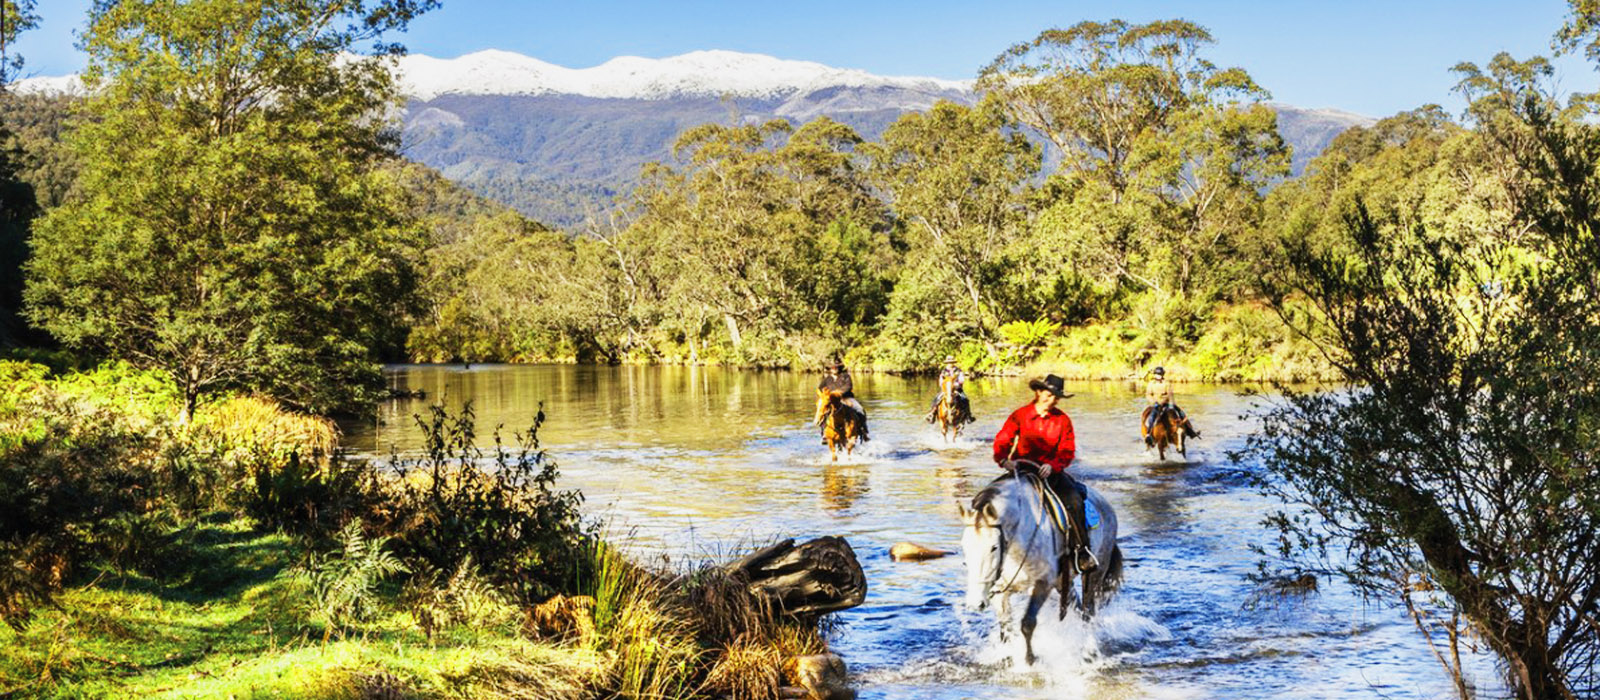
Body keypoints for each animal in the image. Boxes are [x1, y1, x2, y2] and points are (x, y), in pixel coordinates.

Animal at [960, 466, 1126, 664]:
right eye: (964, 546)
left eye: (994, 547)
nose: (975, 603)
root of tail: (1107, 506)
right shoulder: (1000, 590)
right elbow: (1006, 625)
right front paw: (1007, 655)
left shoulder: (1043, 583)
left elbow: (1027, 623)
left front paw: (1030, 659)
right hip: (1063, 582)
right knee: (1077, 607)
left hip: (1094, 573)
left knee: (1088, 612)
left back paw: (1088, 649)